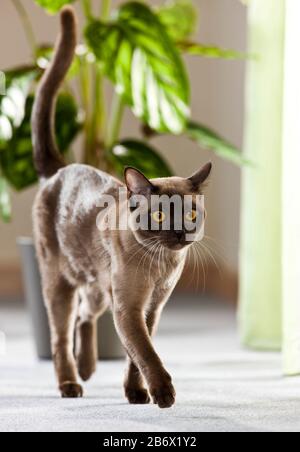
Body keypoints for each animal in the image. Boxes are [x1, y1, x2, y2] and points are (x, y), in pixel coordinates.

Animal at [31, 6, 212, 410]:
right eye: (160, 214)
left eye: (191, 214)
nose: (181, 233)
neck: (162, 265)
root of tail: (60, 168)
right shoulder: (130, 308)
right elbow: (146, 353)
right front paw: (163, 394)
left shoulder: (151, 308)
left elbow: (135, 356)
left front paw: (136, 394)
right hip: (59, 283)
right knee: (60, 337)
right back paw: (72, 384)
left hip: (99, 288)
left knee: (85, 317)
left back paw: (88, 370)